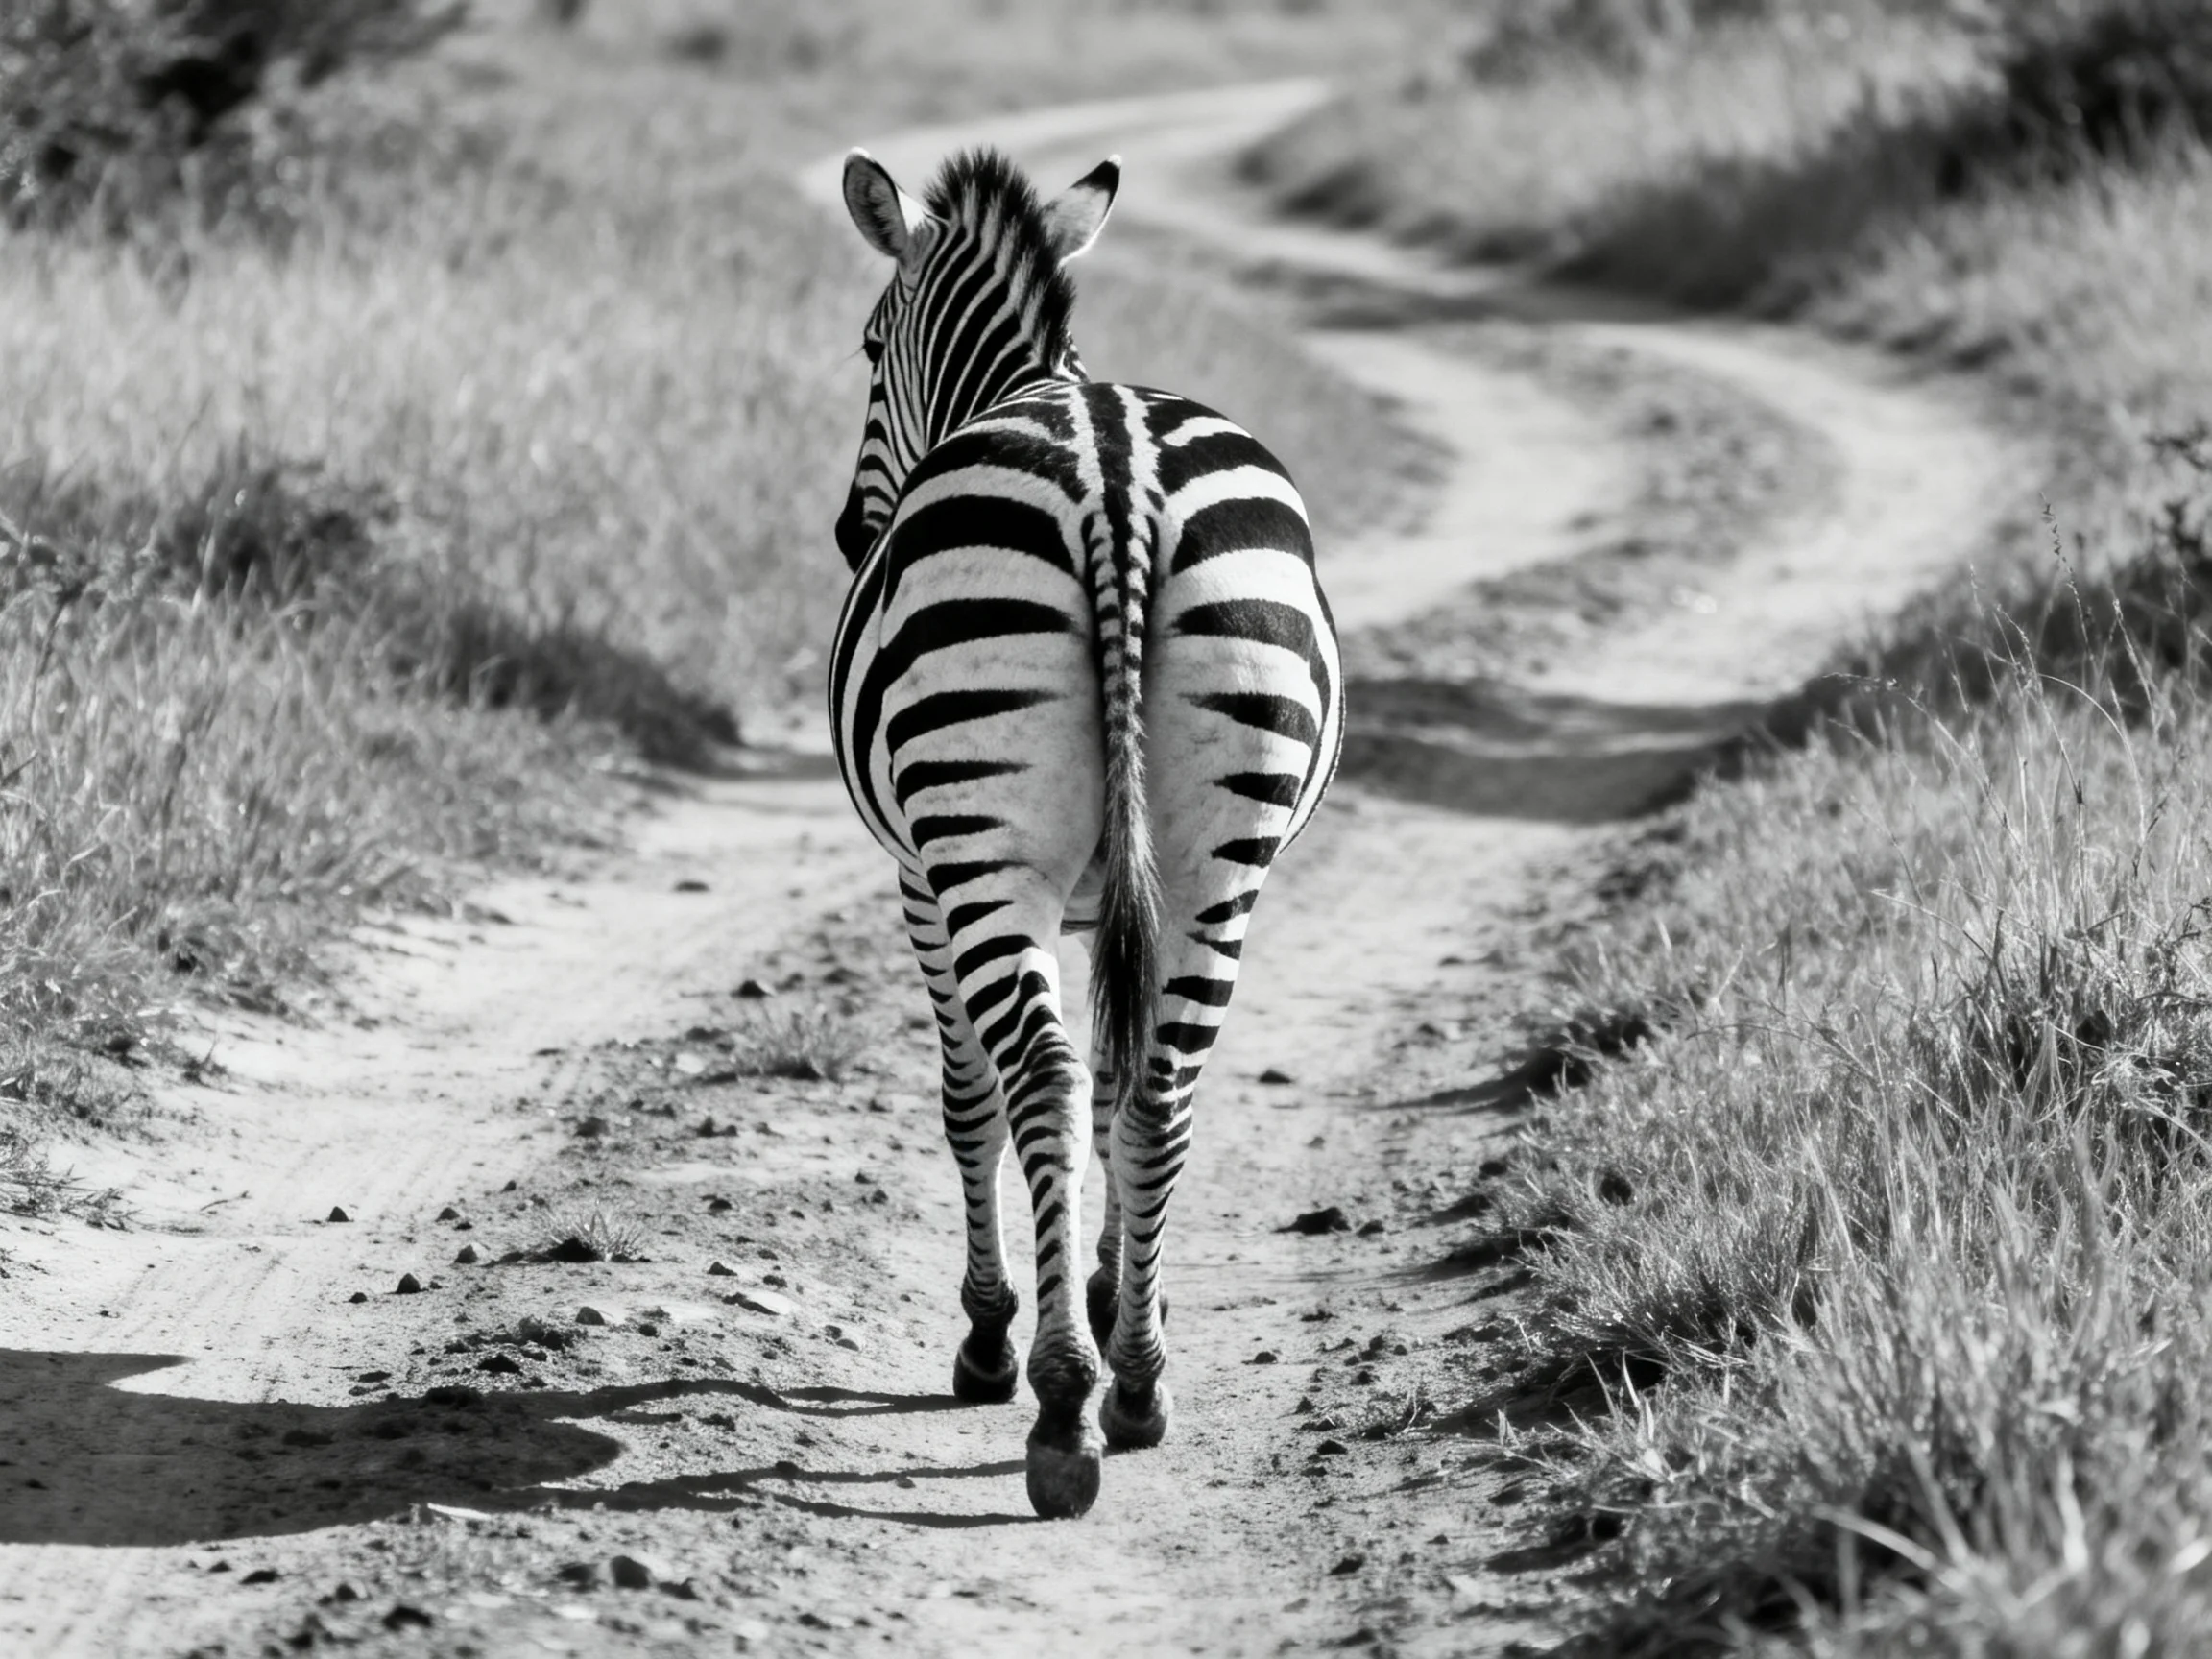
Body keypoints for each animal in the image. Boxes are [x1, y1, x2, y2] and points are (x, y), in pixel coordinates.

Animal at [831, 145, 1343, 1518]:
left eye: (869, 346)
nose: (849, 536)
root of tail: (1117, 470)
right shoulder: (1123, 891)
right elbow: (1120, 1083)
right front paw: (1119, 1297)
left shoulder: (920, 881)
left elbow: (971, 1098)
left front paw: (991, 1334)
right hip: (1222, 858)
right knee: (1156, 1090)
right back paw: (1138, 1381)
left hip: (980, 848)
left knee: (1043, 1084)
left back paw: (1056, 1403)